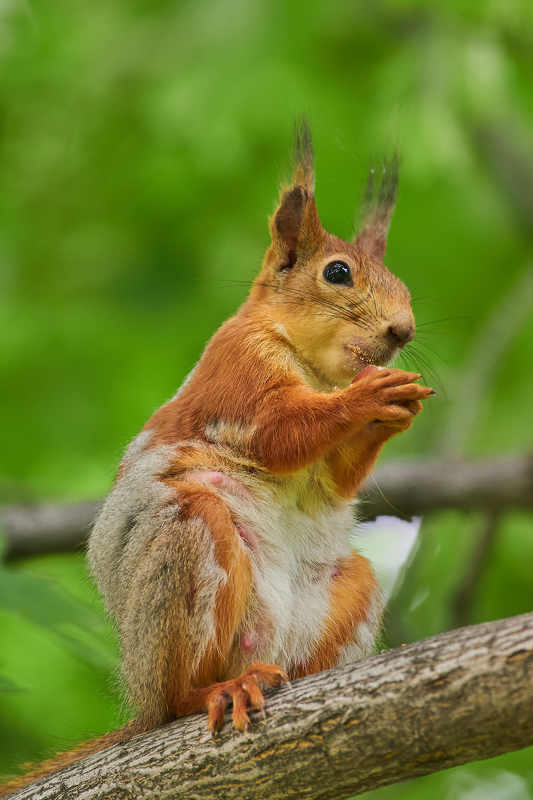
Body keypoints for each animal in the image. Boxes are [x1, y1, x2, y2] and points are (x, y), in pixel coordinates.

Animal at [1, 121, 433, 796]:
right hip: (190, 542)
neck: (313, 366)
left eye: (404, 284)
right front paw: (369, 397)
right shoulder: (238, 375)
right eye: (338, 273)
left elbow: (335, 479)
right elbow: (280, 434)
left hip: (346, 590)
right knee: (182, 693)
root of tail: (143, 698)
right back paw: (215, 690)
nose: (403, 331)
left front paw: (395, 409)